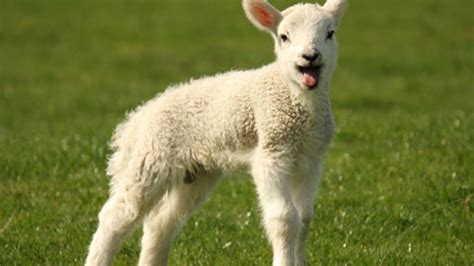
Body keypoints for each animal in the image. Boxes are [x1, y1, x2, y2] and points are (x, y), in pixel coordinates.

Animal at [86, 0, 348, 264]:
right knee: (116, 215)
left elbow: (304, 218)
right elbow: (284, 218)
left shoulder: (311, 159)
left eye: (330, 33)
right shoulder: (271, 152)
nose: (310, 56)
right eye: (284, 36)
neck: (298, 101)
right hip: (151, 158)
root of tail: (139, 117)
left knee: (160, 223)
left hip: (196, 174)